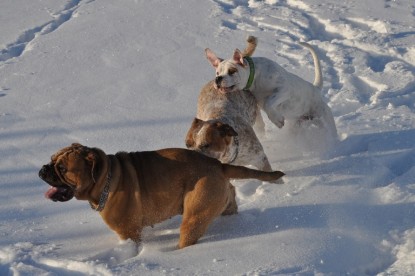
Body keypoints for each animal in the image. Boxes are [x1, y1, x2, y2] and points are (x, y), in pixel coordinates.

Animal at [39, 143, 286, 249]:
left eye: (62, 168)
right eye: (51, 160)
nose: (43, 169)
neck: (105, 177)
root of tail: (218, 165)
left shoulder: (128, 231)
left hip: (194, 214)